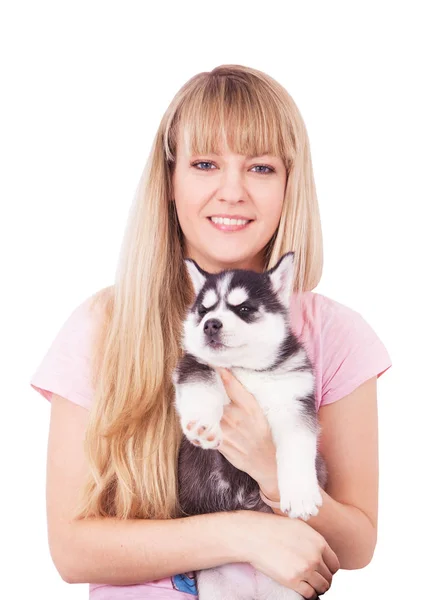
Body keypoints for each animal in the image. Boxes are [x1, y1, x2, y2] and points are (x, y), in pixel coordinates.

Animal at [171, 251, 328, 596]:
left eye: (243, 309)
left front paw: (300, 494)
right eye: (204, 310)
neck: (246, 369)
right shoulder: (193, 365)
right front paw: (202, 424)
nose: (210, 324)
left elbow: (298, 448)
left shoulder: (296, 401)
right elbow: (202, 385)